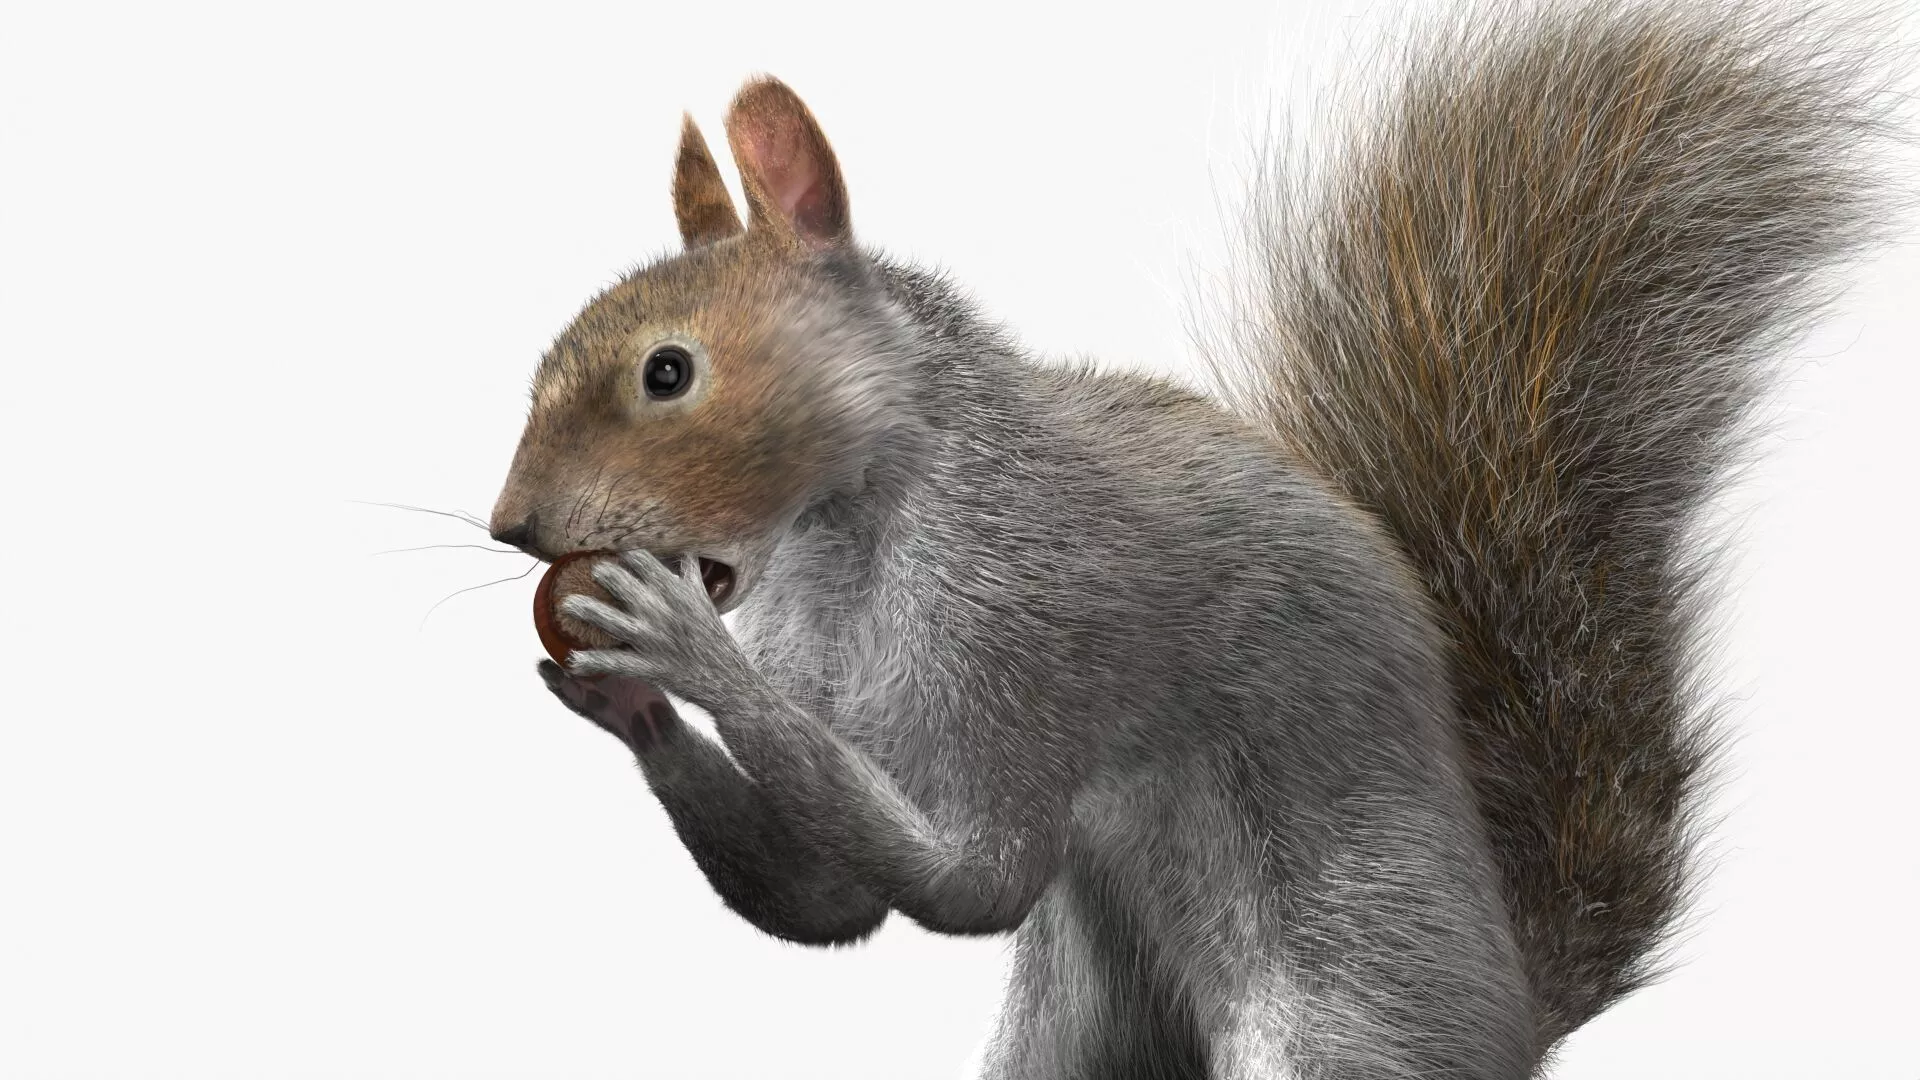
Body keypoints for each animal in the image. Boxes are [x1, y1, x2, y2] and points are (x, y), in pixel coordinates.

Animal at [485, 0, 1902, 1075]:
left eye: (670, 373)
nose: (514, 528)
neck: (850, 537)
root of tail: (1505, 1013)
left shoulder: (1023, 624)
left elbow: (969, 881)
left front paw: (678, 647)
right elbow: (830, 901)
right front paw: (625, 697)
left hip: (1340, 1013)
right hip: (1081, 1020)